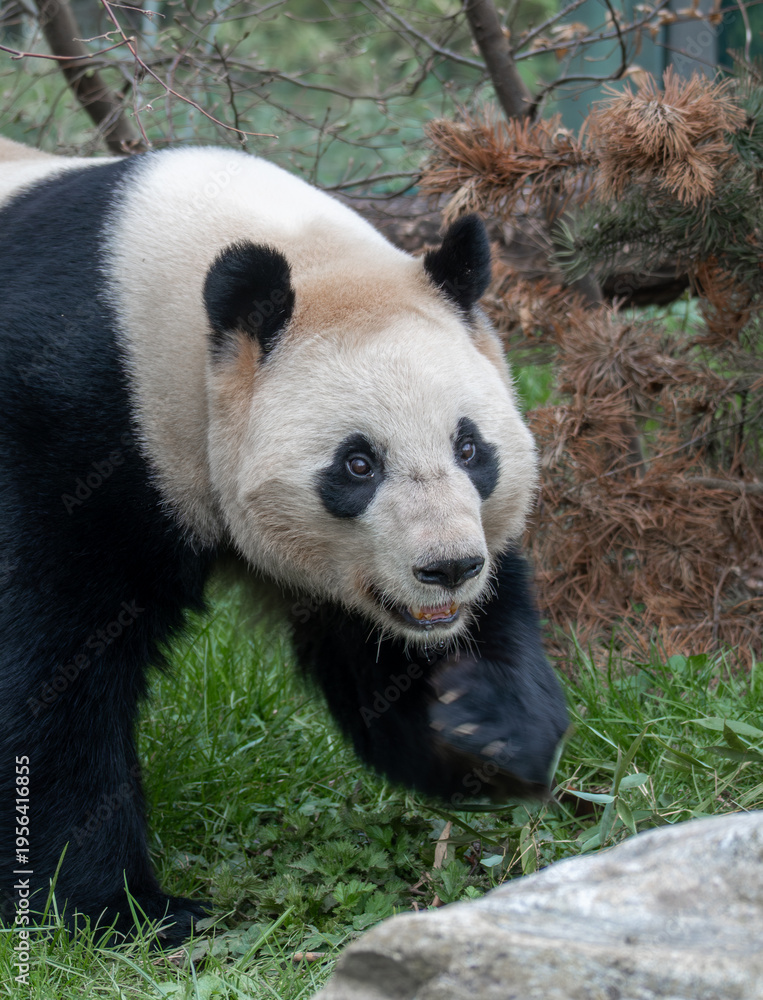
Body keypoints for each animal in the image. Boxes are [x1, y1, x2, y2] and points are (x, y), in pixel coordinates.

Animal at [0, 137, 568, 945]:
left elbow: (380, 662)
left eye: (469, 448)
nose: (448, 569)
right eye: (357, 464)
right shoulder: (67, 413)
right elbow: (51, 665)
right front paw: (124, 912)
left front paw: (487, 722)